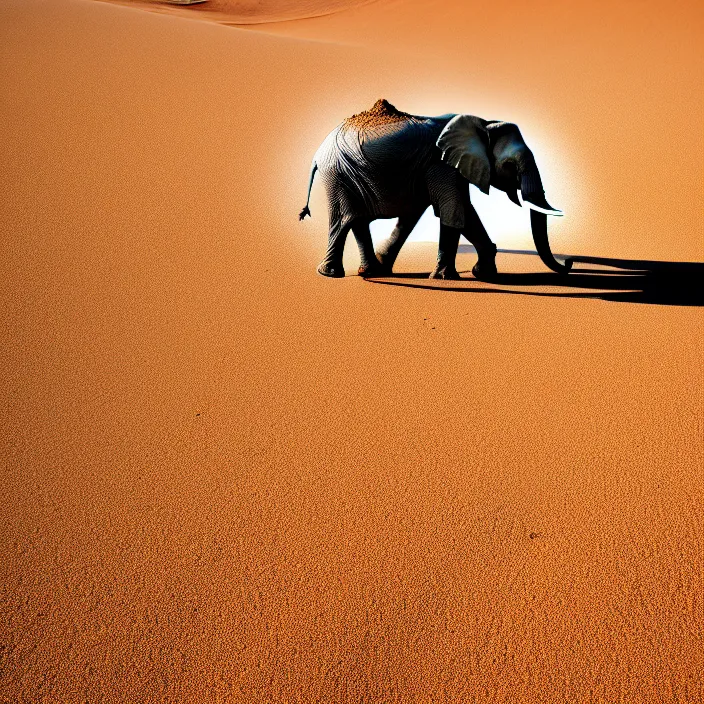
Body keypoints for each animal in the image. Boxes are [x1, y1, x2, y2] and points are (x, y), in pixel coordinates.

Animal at [298, 99, 572, 280]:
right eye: (510, 165)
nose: (569, 262)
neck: (482, 123)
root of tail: (317, 154)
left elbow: (459, 212)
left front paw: (482, 274)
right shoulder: (441, 164)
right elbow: (455, 212)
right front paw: (444, 278)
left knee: (359, 219)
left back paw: (373, 272)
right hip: (338, 174)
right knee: (345, 218)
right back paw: (332, 274)